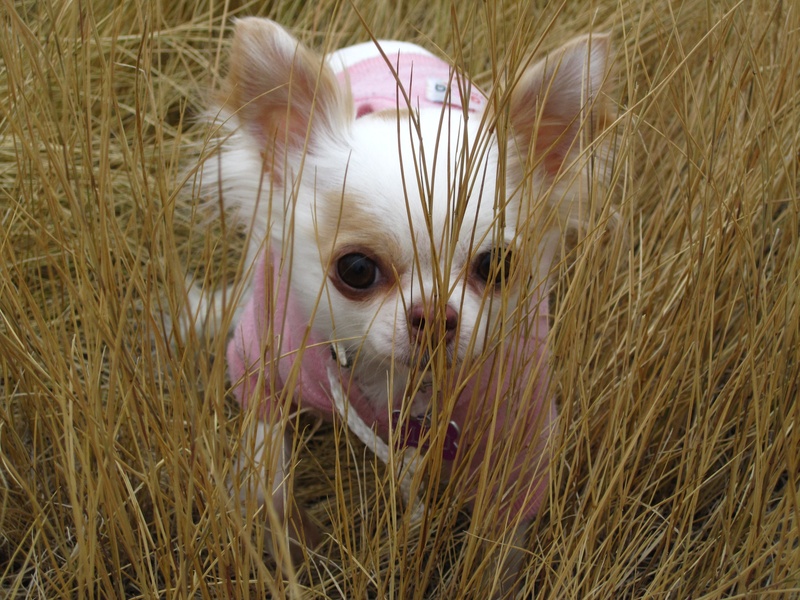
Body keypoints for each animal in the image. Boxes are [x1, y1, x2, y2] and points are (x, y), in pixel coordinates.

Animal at [186, 17, 612, 584]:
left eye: (498, 265)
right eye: (357, 270)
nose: (434, 315)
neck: (399, 382)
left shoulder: (522, 430)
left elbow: (500, 545)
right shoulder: (262, 368)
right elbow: (267, 479)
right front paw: (299, 547)